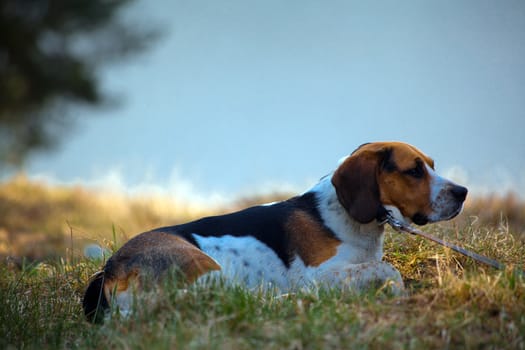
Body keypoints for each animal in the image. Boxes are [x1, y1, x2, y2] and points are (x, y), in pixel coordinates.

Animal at [83, 141, 466, 322]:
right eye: (414, 171)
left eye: (431, 165)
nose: (463, 192)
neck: (347, 218)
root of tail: (112, 269)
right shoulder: (318, 276)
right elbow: (389, 270)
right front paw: (396, 291)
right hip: (207, 270)